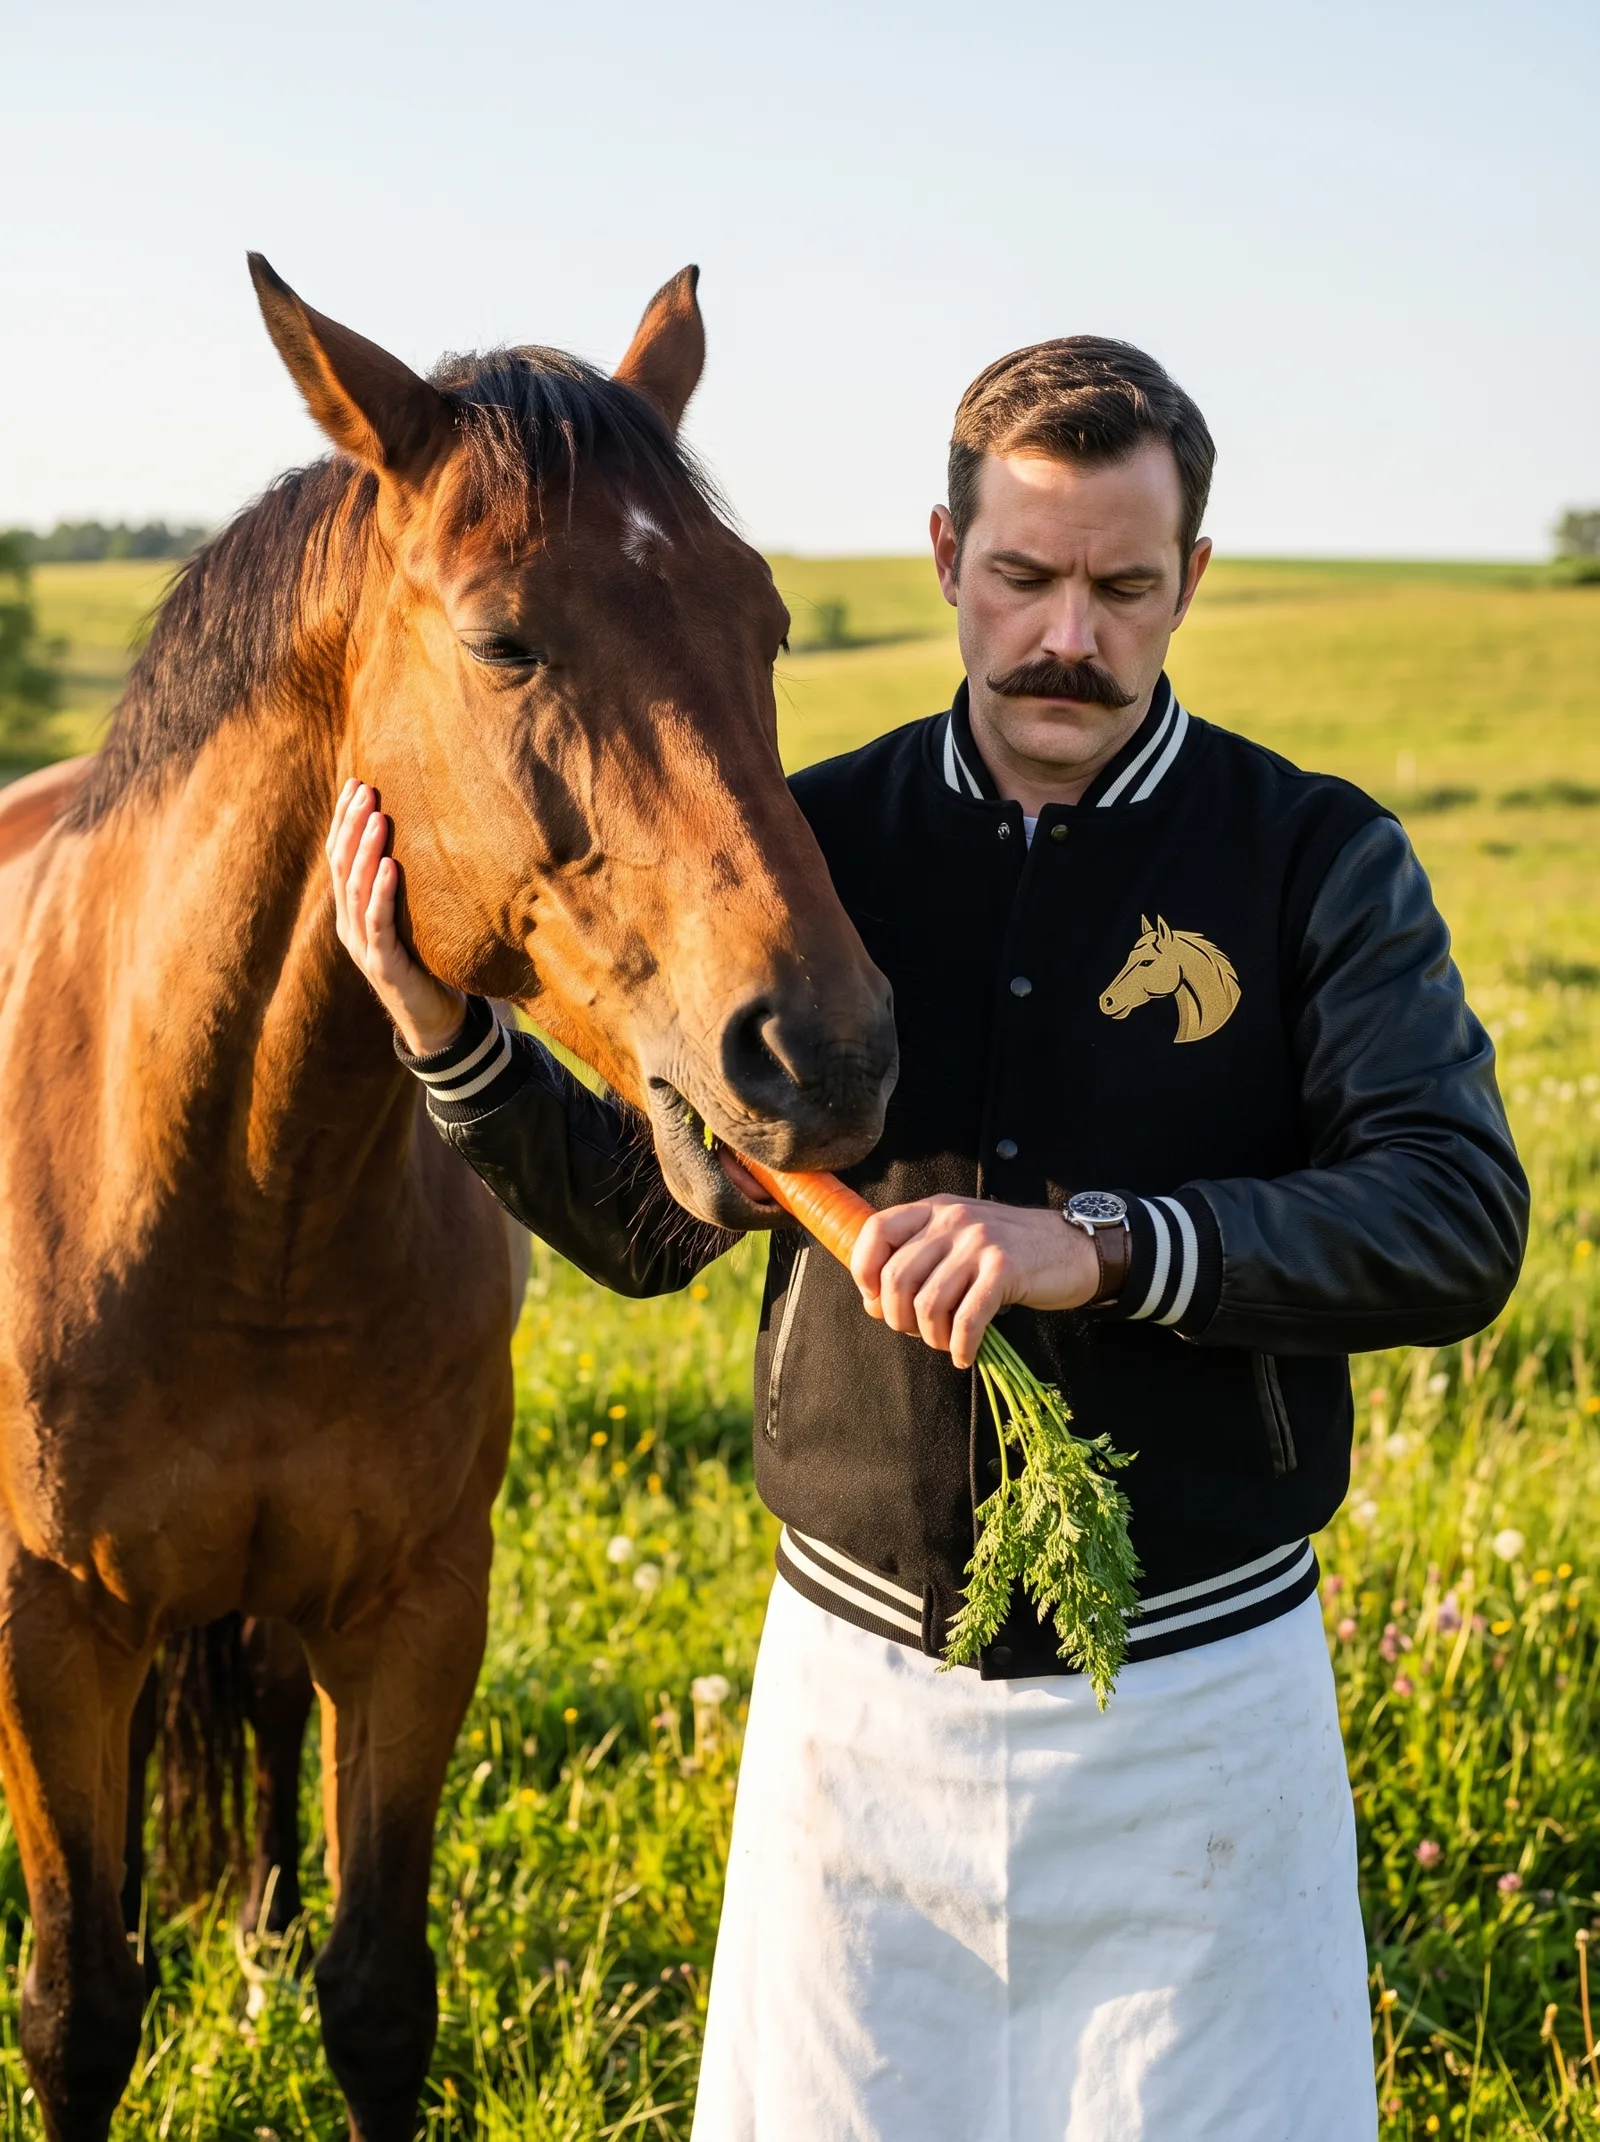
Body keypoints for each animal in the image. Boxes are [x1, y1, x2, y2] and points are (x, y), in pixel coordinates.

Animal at [0, 256, 897, 2142]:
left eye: (767, 623)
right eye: (502, 641)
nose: (827, 1049)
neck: (235, 1198)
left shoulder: (416, 1612)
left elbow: (377, 1994)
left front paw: (294, 1965)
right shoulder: (52, 1629)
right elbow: (76, 2006)